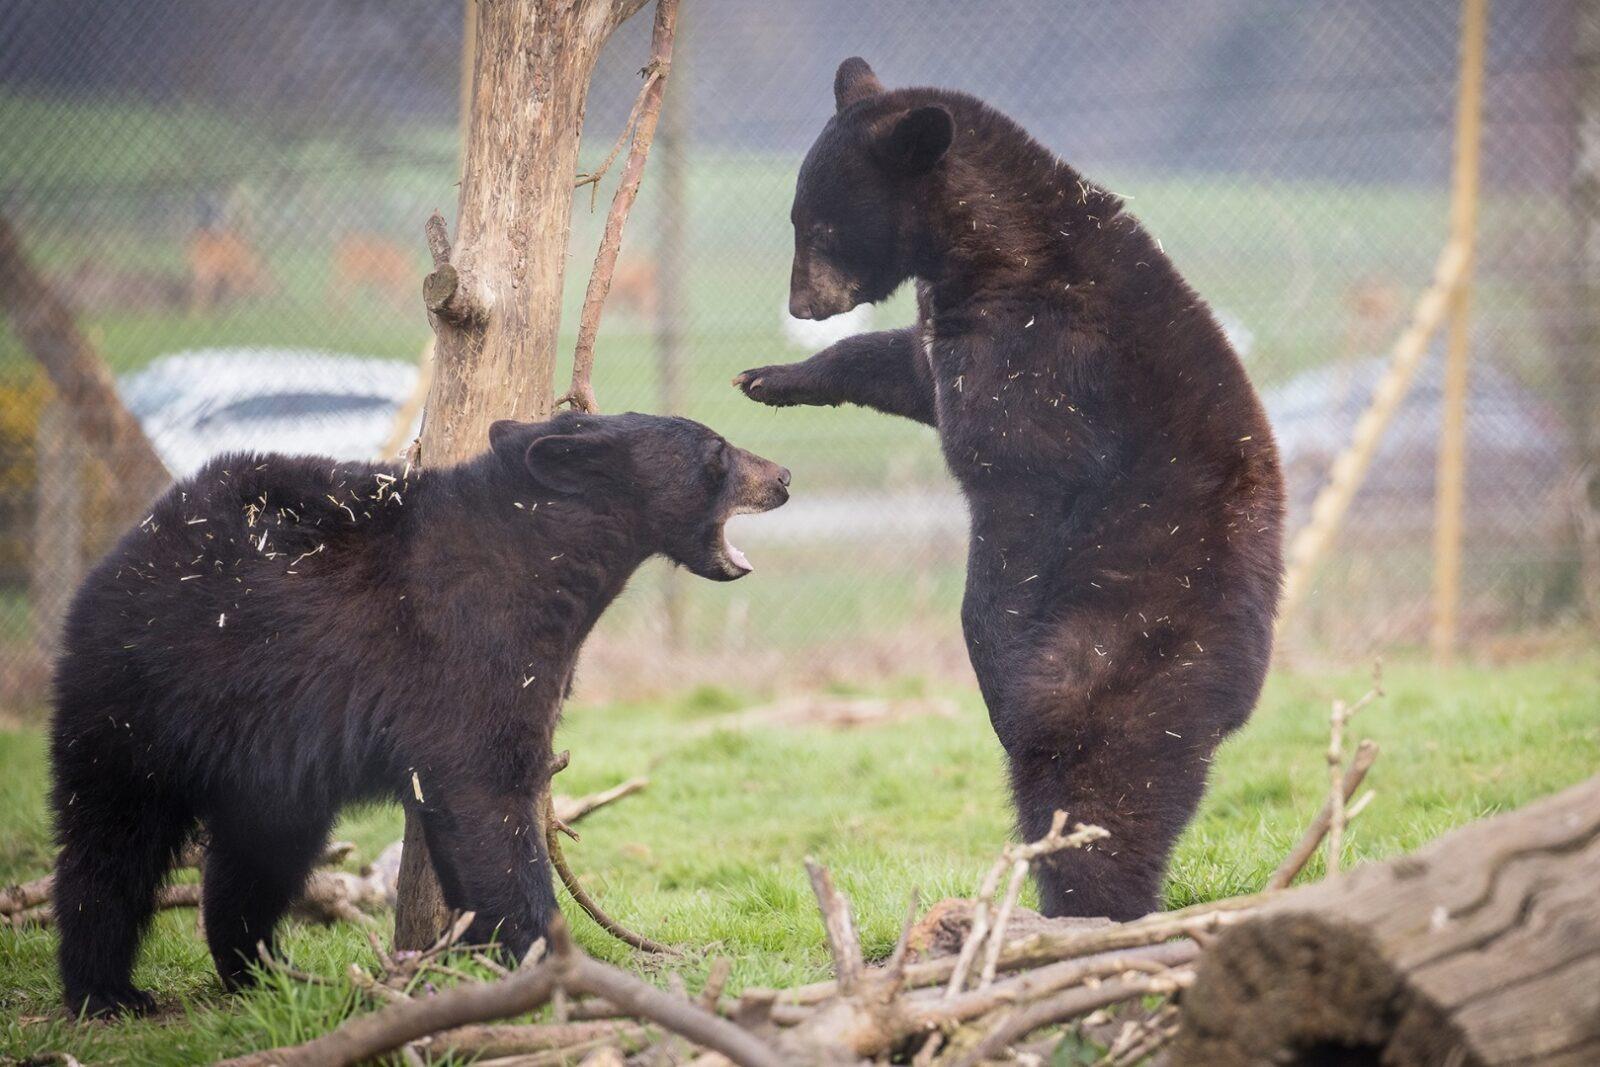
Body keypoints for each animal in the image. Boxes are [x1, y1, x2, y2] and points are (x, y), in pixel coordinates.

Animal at [49, 411, 790, 1017]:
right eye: (718, 453)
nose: (783, 475)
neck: (546, 561)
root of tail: (126, 548)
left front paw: (479, 957)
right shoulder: (469, 656)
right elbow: (488, 798)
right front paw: (549, 959)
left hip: (266, 761)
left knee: (259, 854)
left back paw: (265, 971)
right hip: (145, 696)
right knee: (112, 837)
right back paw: (107, 990)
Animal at [735, 58, 1284, 921]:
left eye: (818, 226)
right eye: (799, 217)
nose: (802, 304)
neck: (990, 249)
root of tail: (1244, 688)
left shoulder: (1040, 364)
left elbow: (1012, 493)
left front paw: (987, 636)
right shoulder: (953, 330)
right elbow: (902, 367)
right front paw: (771, 375)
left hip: (1126, 632)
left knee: (1094, 773)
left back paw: (1085, 897)